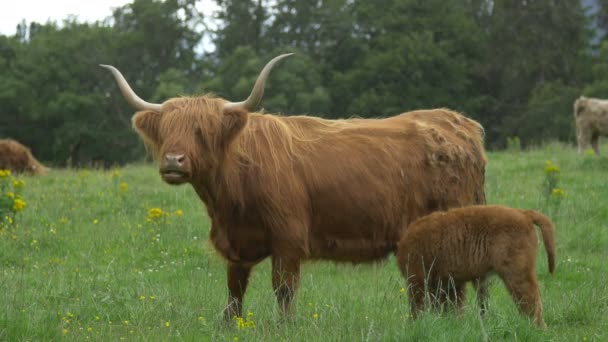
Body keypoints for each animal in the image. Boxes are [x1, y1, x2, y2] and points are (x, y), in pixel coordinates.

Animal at [102, 54, 486, 320]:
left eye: (202, 130)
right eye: (166, 131)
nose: (173, 161)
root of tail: (459, 123)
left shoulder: (288, 238)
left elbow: (284, 290)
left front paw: (284, 326)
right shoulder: (237, 245)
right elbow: (233, 294)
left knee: (454, 289)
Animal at [396, 204, 552, 328]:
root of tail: (524, 214)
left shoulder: (417, 280)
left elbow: (417, 309)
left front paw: (413, 327)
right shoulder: (449, 284)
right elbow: (452, 308)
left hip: (517, 273)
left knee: (530, 301)